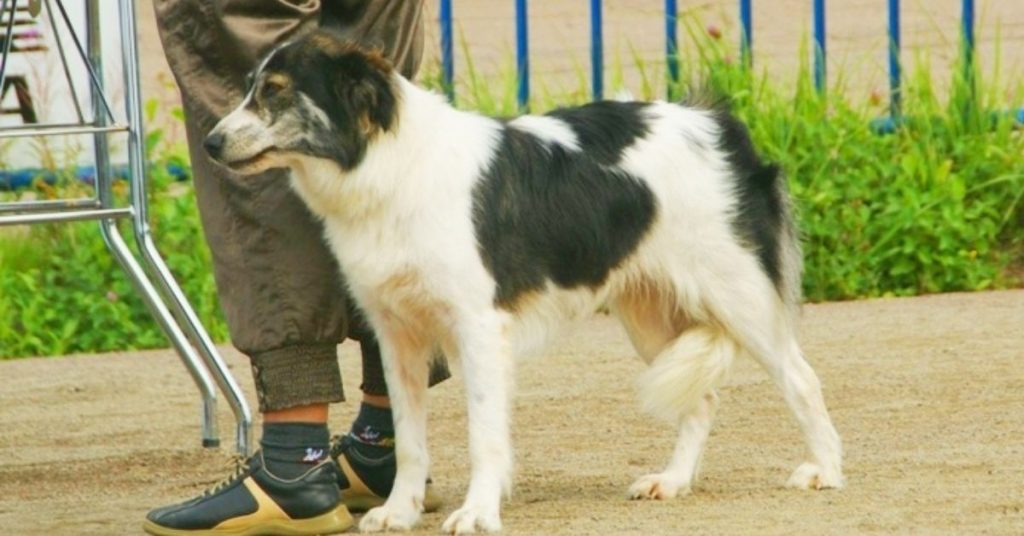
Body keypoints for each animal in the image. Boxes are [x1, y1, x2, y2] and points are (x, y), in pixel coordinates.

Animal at [203, 30, 843, 536]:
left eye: (276, 91)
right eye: (250, 87)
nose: (209, 143)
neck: (387, 164)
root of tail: (716, 122)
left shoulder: (479, 327)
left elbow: (484, 432)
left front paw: (478, 513)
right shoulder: (397, 334)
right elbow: (408, 438)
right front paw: (402, 511)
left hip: (739, 296)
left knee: (802, 379)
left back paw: (827, 471)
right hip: (649, 313)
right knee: (701, 398)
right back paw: (673, 480)